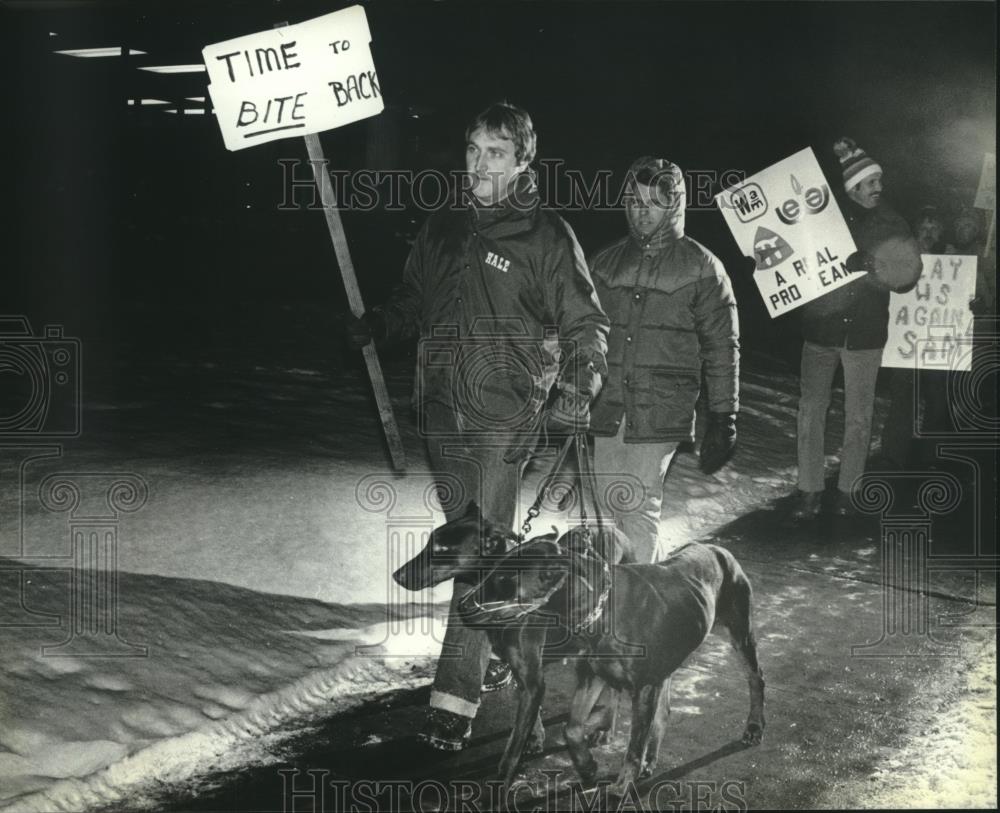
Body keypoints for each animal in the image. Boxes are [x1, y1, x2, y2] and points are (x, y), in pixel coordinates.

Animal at [458, 536, 760, 788]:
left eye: (504, 577)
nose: (461, 605)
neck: (599, 608)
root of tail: (717, 549)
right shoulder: (592, 675)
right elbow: (571, 729)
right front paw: (587, 766)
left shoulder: (644, 687)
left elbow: (632, 751)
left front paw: (621, 788)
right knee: (660, 711)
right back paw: (645, 755)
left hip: (740, 634)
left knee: (755, 679)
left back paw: (754, 727)